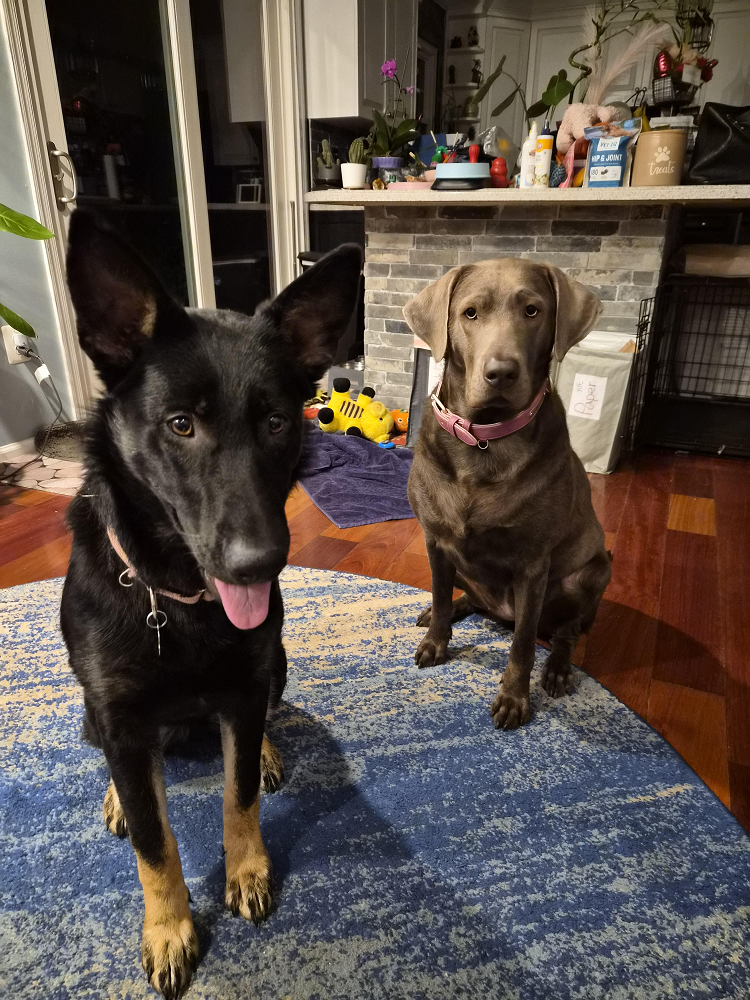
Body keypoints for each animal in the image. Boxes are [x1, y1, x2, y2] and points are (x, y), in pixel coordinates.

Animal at [60, 211, 361, 998]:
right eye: (180, 425)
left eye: (279, 422)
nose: (259, 563)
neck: (177, 597)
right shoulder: (120, 712)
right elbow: (153, 841)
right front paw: (169, 929)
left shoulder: (247, 680)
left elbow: (238, 793)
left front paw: (247, 866)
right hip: (93, 709)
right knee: (119, 760)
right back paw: (117, 792)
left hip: (275, 663)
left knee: (253, 727)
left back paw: (265, 750)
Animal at [403, 258, 612, 731]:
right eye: (470, 313)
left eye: (532, 310)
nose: (501, 372)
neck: (484, 441)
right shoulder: (434, 542)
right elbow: (439, 594)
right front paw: (436, 640)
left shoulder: (533, 565)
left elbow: (523, 645)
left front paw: (515, 699)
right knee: (468, 597)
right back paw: (450, 610)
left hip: (592, 572)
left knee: (565, 631)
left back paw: (558, 669)